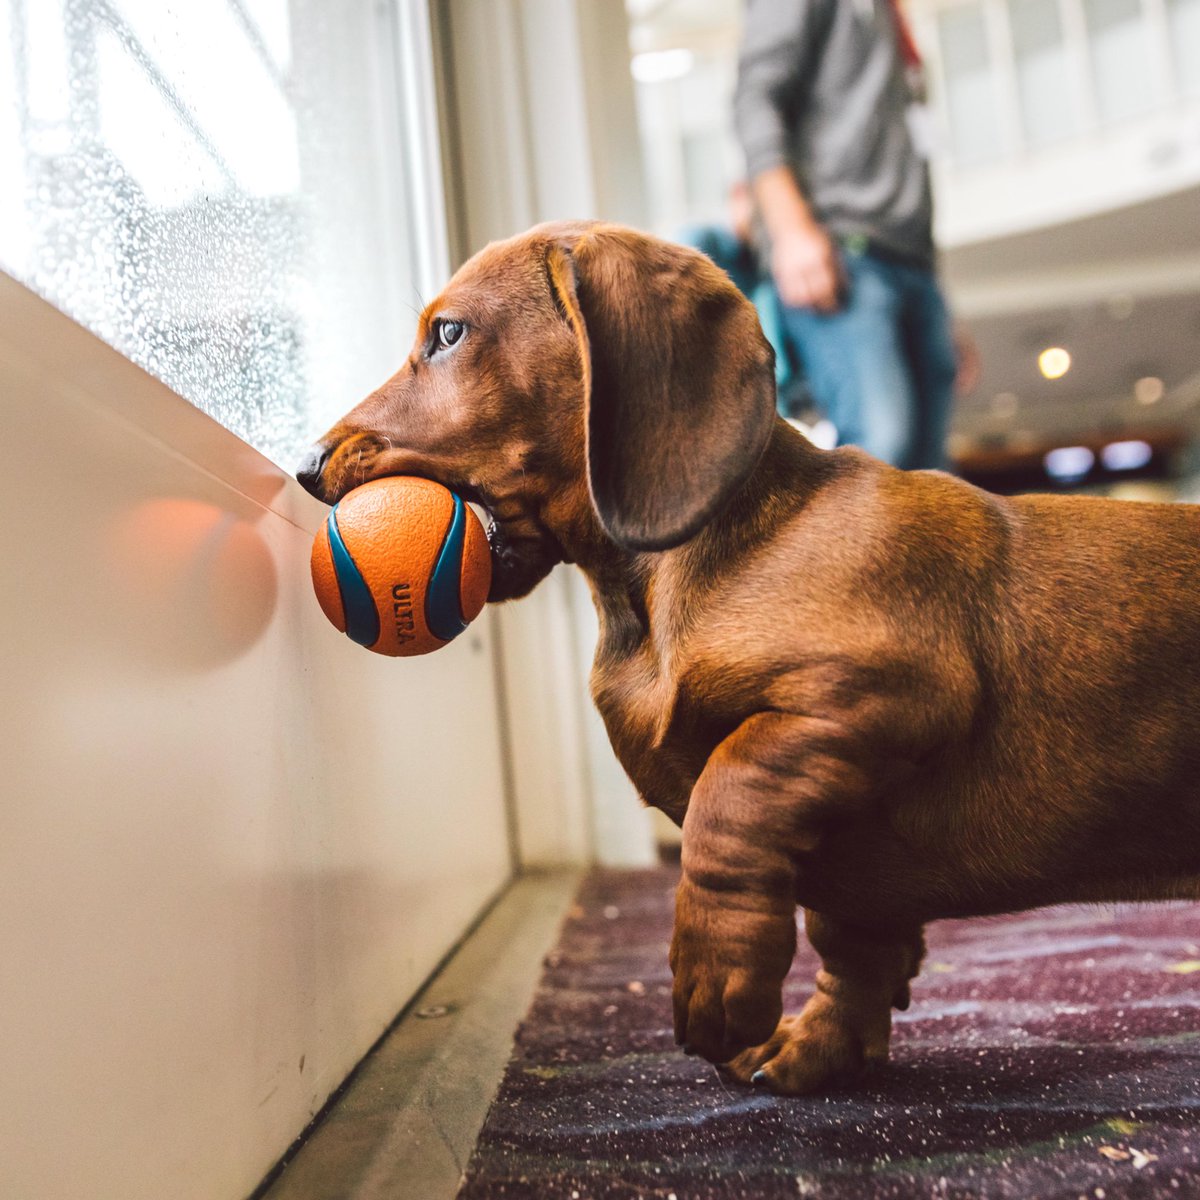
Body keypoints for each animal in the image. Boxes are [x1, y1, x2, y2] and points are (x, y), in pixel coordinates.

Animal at [296, 221, 1200, 1094]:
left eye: (448, 333)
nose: (303, 466)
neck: (658, 593)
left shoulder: (875, 696)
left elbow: (729, 799)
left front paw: (717, 978)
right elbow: (851, 945)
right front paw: (818, 1046)